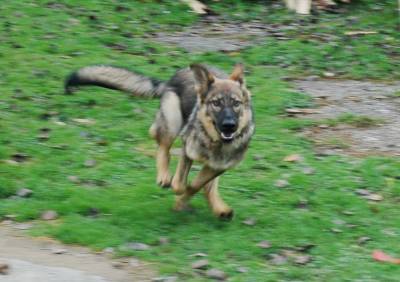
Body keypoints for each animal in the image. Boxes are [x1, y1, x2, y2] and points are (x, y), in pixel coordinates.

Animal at [64, 62, 255, 219]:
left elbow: (198, 185)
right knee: (161, 144)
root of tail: (170, 80)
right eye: (216, 103)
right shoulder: (187, 150)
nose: (229, 126)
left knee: (208, 185)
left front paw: (187, 201)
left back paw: (219, 208)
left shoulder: (218, 167)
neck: (215, 143)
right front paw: (180, 197)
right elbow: (180, 184)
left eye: (236, 103)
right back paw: (164, 176)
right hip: (172, 120)